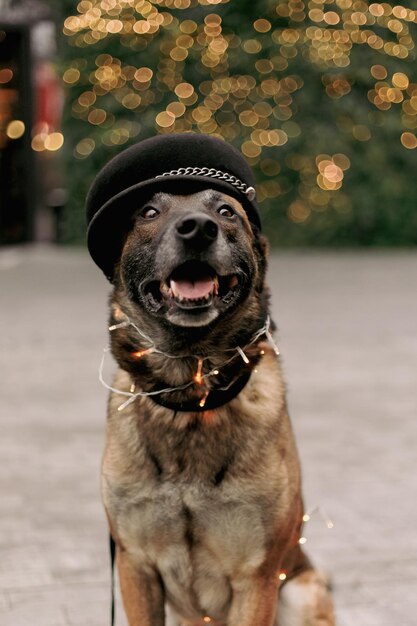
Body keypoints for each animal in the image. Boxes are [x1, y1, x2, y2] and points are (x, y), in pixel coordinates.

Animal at [87, 134, 334, 620]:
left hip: (300, 591)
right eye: (149, 212)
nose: (198, 228)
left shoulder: (258, 578)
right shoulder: (134, 566)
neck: (191, 395)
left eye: (225, 211)